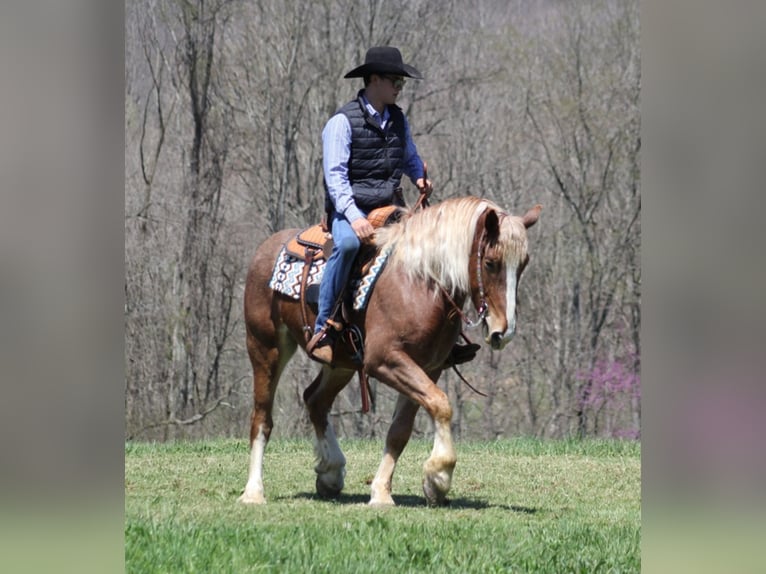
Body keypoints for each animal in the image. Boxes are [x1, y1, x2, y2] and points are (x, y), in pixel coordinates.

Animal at [237, 197, 544, 508]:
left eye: (523, 265)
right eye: (491, 263)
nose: (503, 331)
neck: (420, 282)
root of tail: (265, 248)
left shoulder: (428, 367)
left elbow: (402, 430)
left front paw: (384, 491)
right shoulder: (385, 361)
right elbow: (441, 404)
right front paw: (439, 475)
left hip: (340, 363)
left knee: (315, 400)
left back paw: (331, 471)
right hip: (265, 348)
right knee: (262, 417)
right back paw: (253, 491)